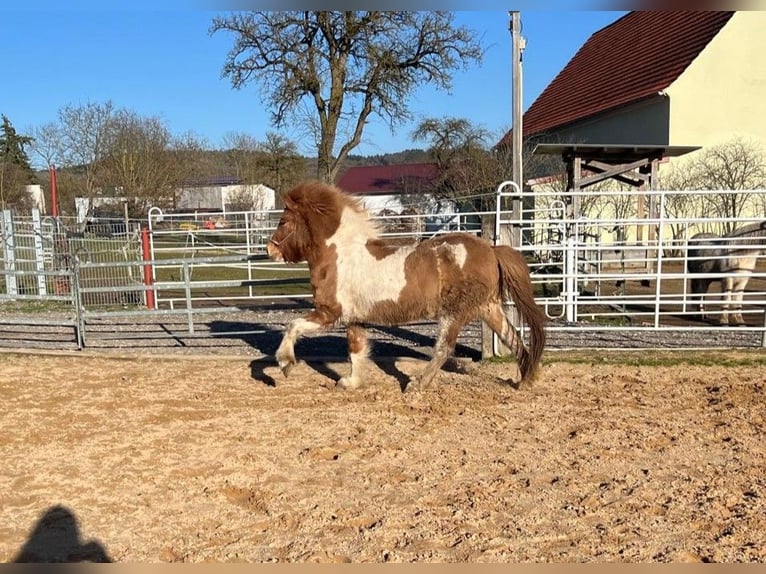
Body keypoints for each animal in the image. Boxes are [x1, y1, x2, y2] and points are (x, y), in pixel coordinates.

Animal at [266, 181, 547, 392]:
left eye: (283, 221)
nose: (270, 249)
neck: (341, 254)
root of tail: (491, 249)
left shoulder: (330, 312)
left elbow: (293, 326)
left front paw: (285, 363)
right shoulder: (354, 318)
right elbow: (356, 350)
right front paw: (350, 382)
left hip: (454, 313)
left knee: (444, 348)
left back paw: (417, 384)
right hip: (489, 308)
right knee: (513, 338)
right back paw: (525, 380)